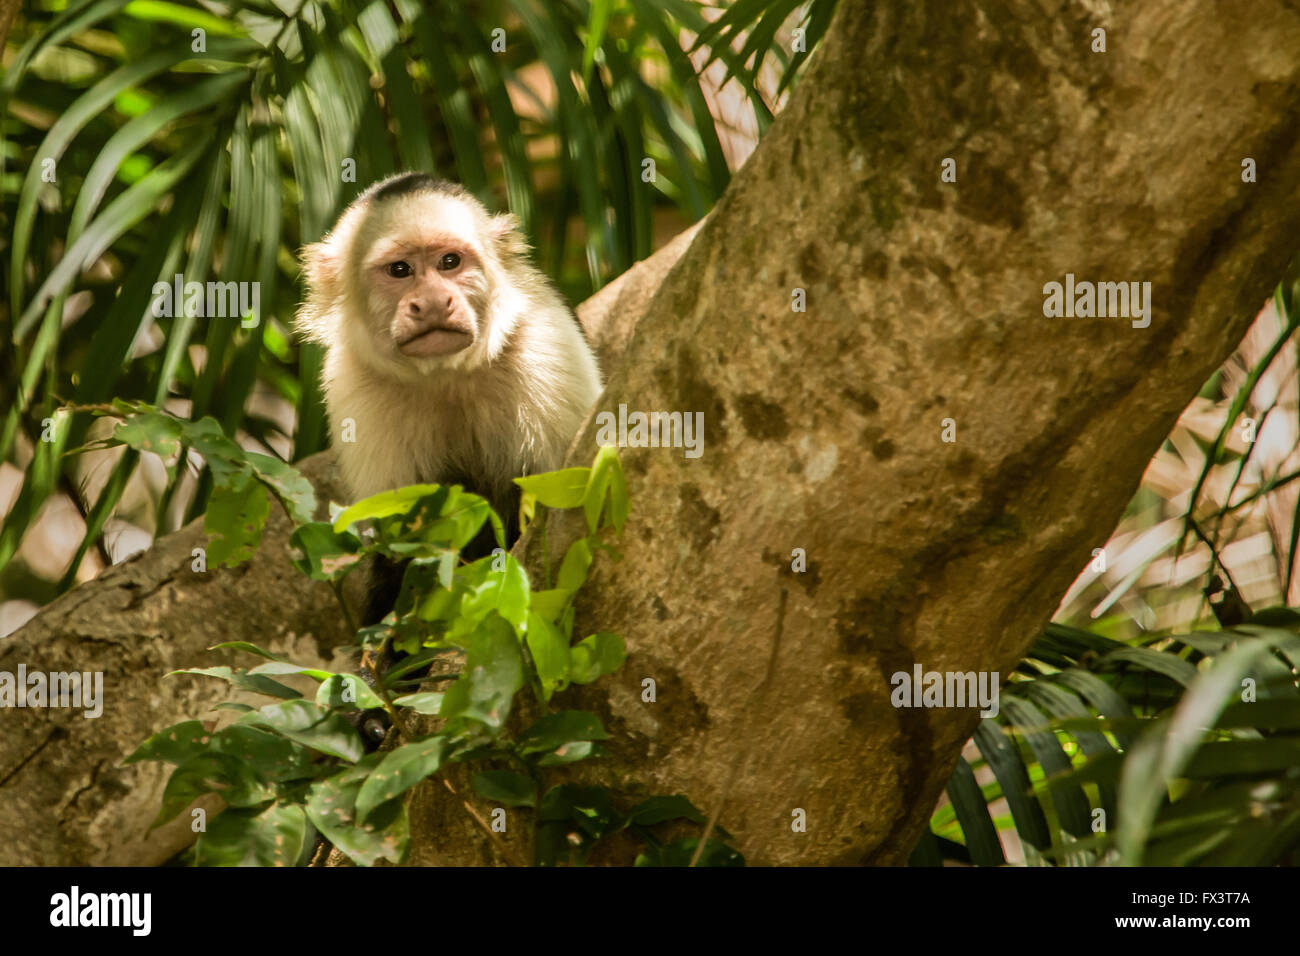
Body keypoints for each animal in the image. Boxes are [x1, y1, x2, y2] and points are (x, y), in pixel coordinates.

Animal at [297, 171, 600, 738]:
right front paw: (374, 707)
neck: (447, 378)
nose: (434, 301)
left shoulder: (546, 346)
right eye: (400, 271)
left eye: (450, 263)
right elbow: (403, 551)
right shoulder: (354, 385)